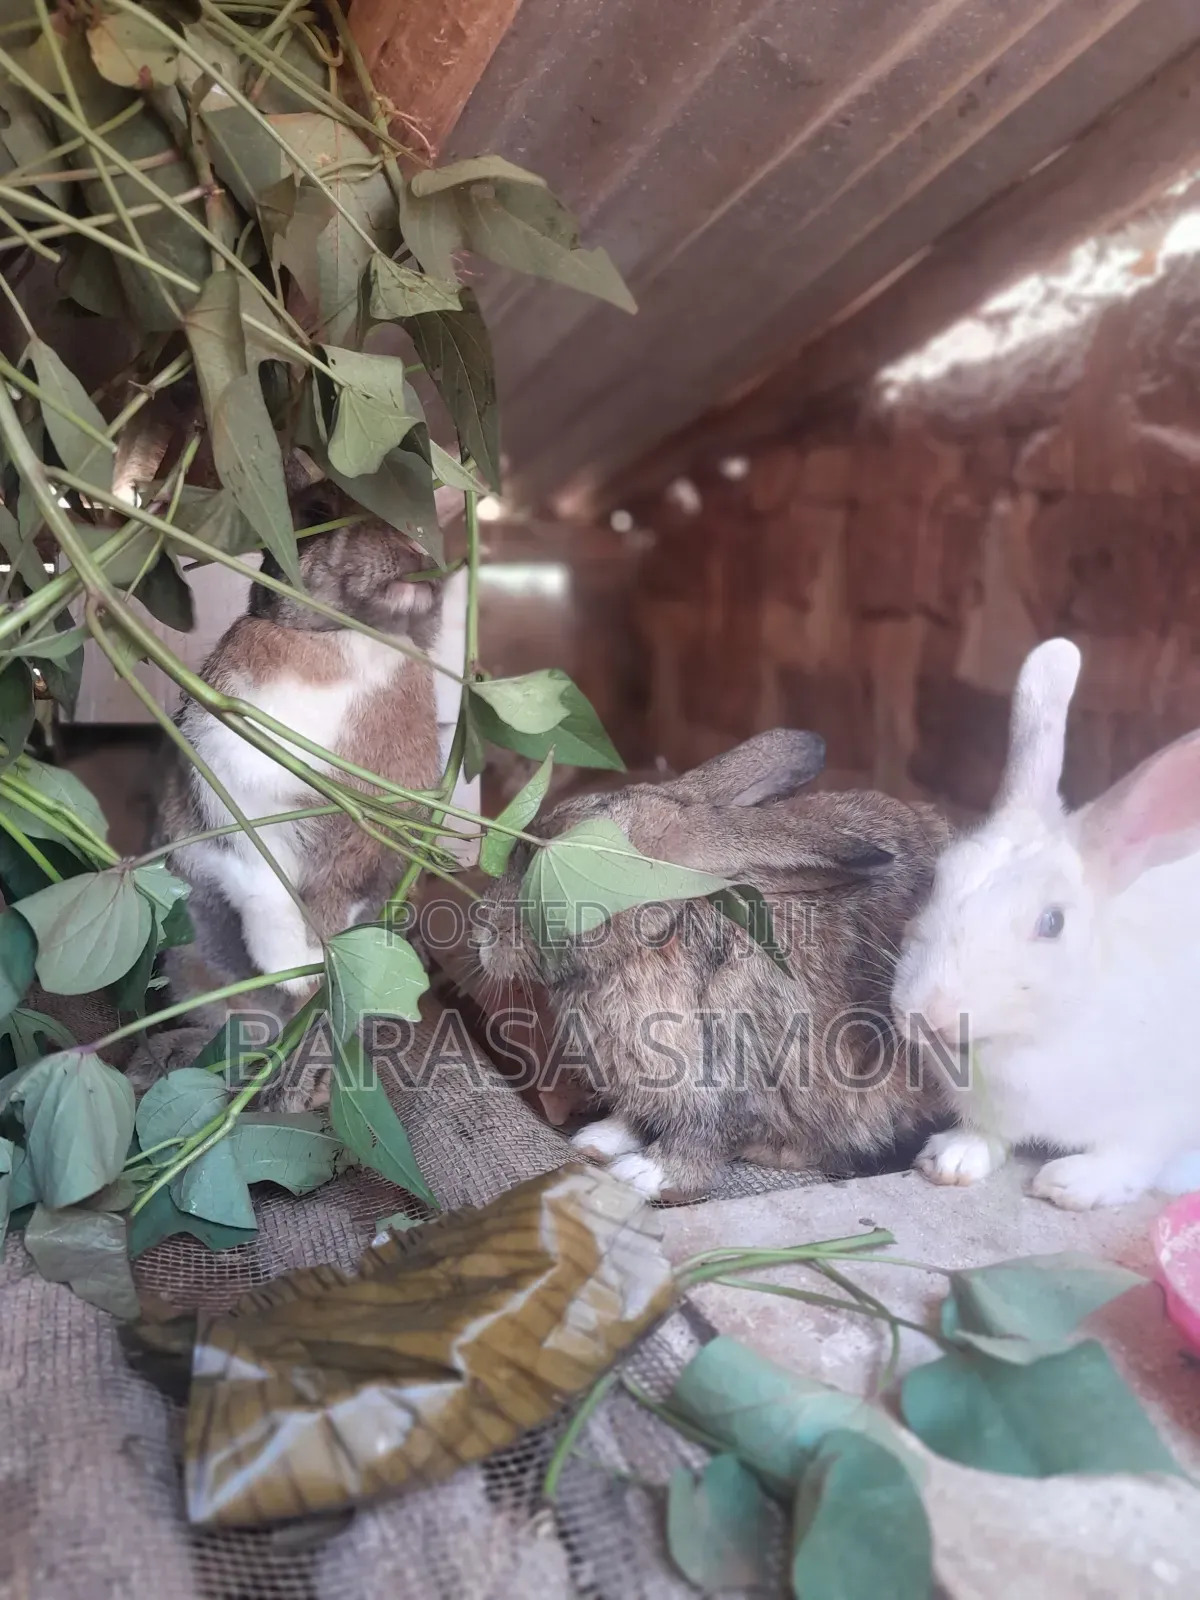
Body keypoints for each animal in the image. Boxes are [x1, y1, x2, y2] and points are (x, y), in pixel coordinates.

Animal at [147, 467, 444, 1079]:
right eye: (314, 512)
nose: (413, 550)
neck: (355, 640)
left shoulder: (365, 855)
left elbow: (335, 906)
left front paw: (321, 974)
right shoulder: (234, 802)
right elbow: (267, 885)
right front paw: (297, 969)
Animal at [475, 729, 952, 1199]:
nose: (483, 936)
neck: (657, 938)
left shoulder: (727, 1080)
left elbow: (700, 1140)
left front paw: (642, 1174)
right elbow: (636, 1117)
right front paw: (598, 1138)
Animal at [891, 637, 1200, 1210]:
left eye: (1052, 922)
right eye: (937, 879)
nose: (928, 1013)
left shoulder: (1164, 1115)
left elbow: (1132, 1156)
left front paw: (1072, 1183)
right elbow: (986, 1133)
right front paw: (952, 1159)